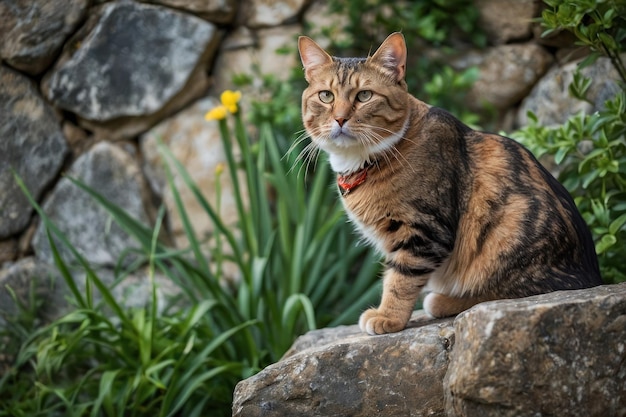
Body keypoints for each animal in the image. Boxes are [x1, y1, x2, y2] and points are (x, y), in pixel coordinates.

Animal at [296, 31, 600, 334]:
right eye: (326, 96)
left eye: (364, 95)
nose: (340, 118)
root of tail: (590, 274)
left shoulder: (424, 230)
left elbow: (400, 278)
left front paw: (387, 317)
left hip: (512, 227)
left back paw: (444, 300)